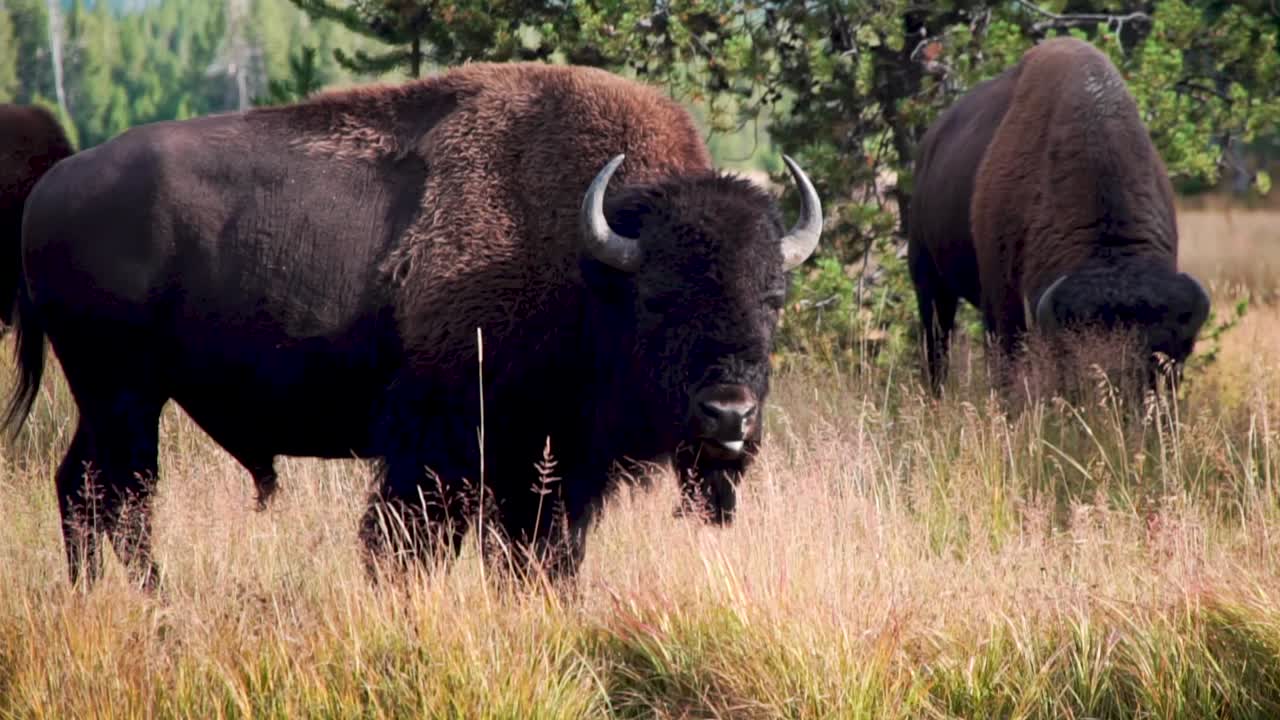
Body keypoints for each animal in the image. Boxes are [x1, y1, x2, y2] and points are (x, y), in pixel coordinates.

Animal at [909, 37, 1210, 396]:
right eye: (1075, 366)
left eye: (1154, 364)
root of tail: (929, 143)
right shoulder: (1002, 304)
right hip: (928, 279)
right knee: (936, 345)